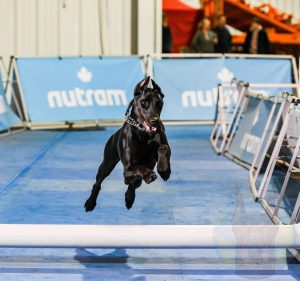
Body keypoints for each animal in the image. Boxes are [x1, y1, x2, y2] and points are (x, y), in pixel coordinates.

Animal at [85, 75, 171, 209]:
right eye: (143, 102)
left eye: (159, 103)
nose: (155, 121)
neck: (143, 133)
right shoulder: (128, 167)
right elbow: (139, 167)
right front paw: (150, 174)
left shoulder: (163, 144)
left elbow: (164, 148)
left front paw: (164, 169)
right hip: (107, 164)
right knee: (98, 183)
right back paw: (90, 203)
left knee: (132, 184)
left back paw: (129, 198)